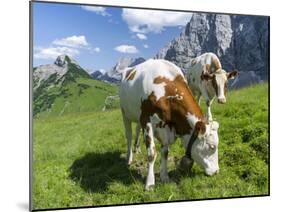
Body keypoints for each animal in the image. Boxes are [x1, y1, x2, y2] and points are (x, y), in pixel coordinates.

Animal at [118, 58, 219, 190]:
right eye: (212, 147)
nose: (216, 171)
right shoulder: (147, 121)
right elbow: (152, 153)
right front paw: (150, 183)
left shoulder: (165, 127)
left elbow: (165, 152)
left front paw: (165, 177)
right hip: (125, 113)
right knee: (129, 136)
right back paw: (129, 158)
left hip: (137, 116)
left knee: (137, 130)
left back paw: (137, 148)